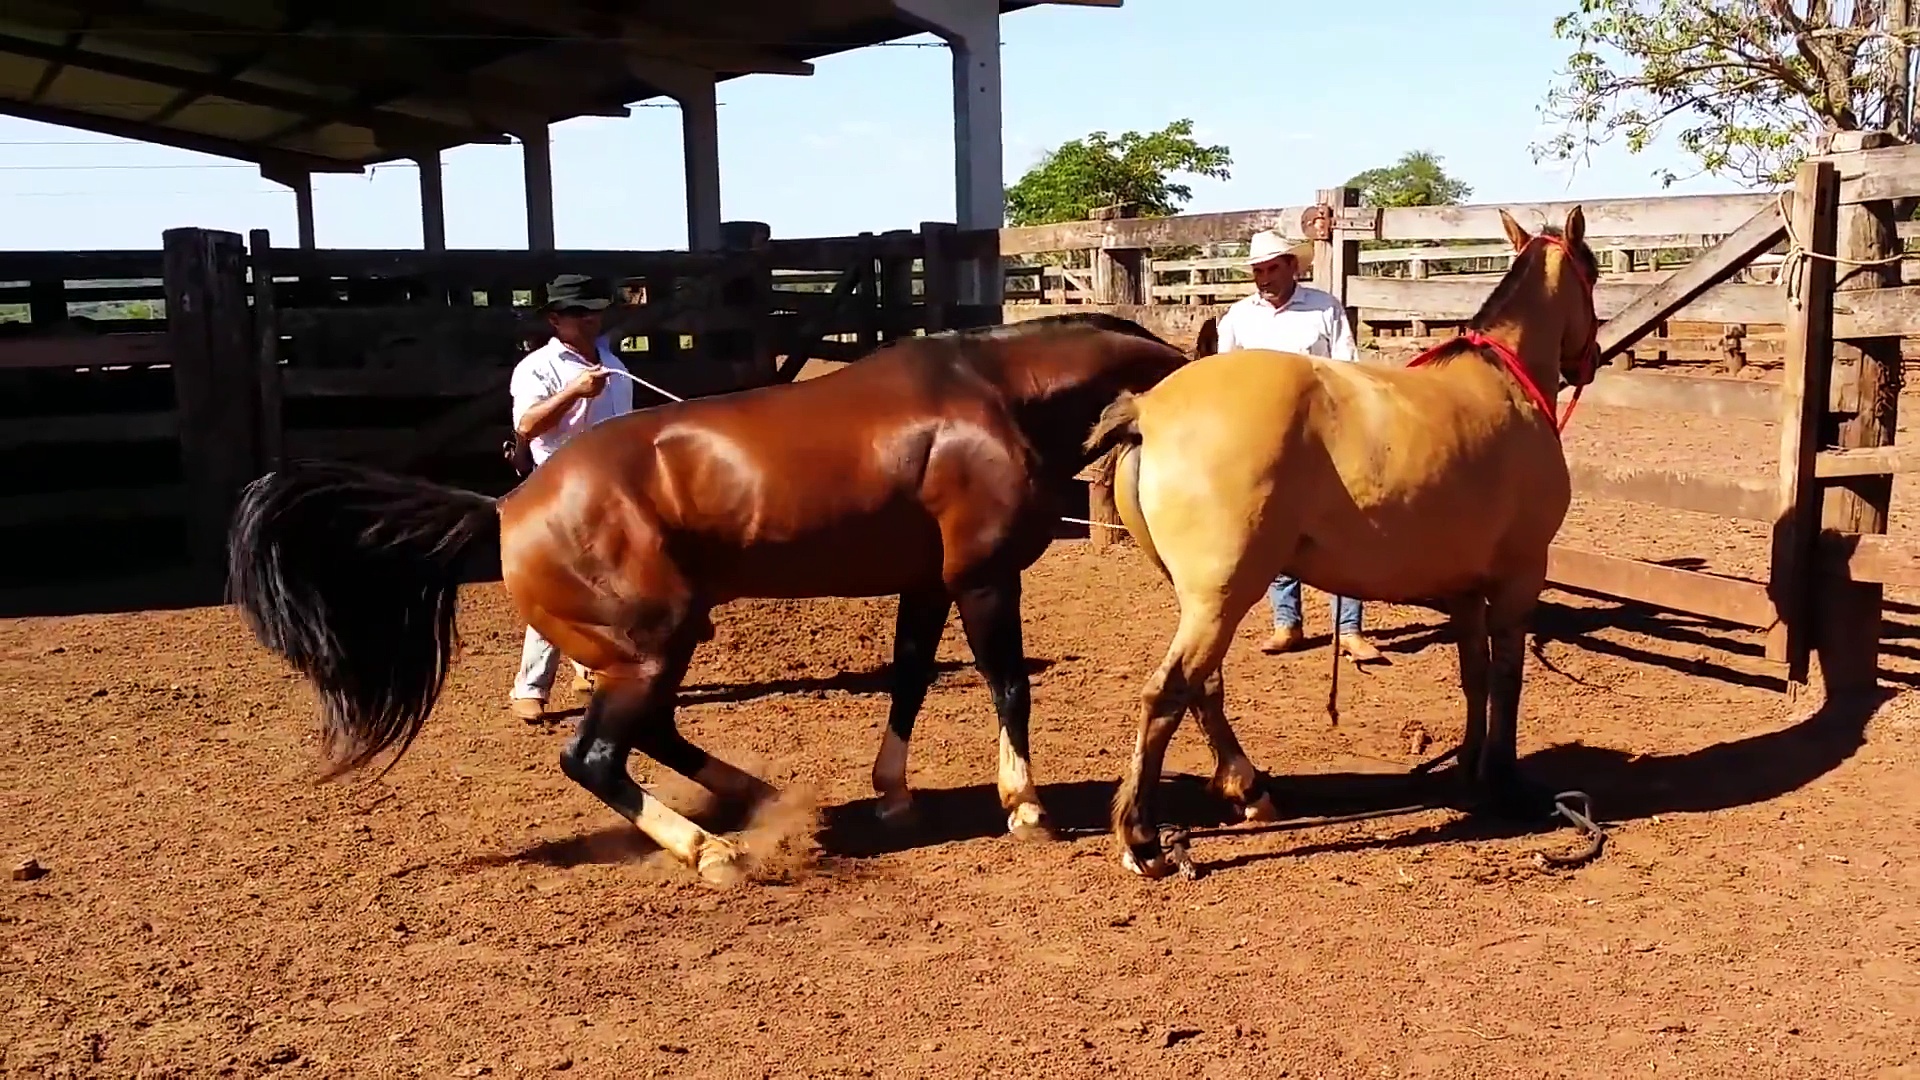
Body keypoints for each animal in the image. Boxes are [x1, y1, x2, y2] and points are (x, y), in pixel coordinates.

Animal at [225, 312, 1192, 887]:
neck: (994, 398)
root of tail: (504, 507)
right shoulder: (983, 579)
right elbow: (1007, 686)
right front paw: (1025, 807)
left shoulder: (925, 584)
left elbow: (910, 681)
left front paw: (892, 793)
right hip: (648, 646)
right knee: (594, 759)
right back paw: (711, 850)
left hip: (657, 645)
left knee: (650, 735)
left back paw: (764, 799)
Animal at [1081, 206, 1604, 880]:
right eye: (1593, 272)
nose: (1591, 358)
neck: (1502, 384)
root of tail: (1150, 408)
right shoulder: (1519, 578)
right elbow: (1508, 679)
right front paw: (1506, 783)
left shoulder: (1465, 590)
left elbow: (1475, 677)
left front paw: (1469, 769)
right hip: (1222, 594)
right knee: (1168, 692)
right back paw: (1143, 837)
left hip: (1205, 599)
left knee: (1204, 688)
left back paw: (1249, 790)